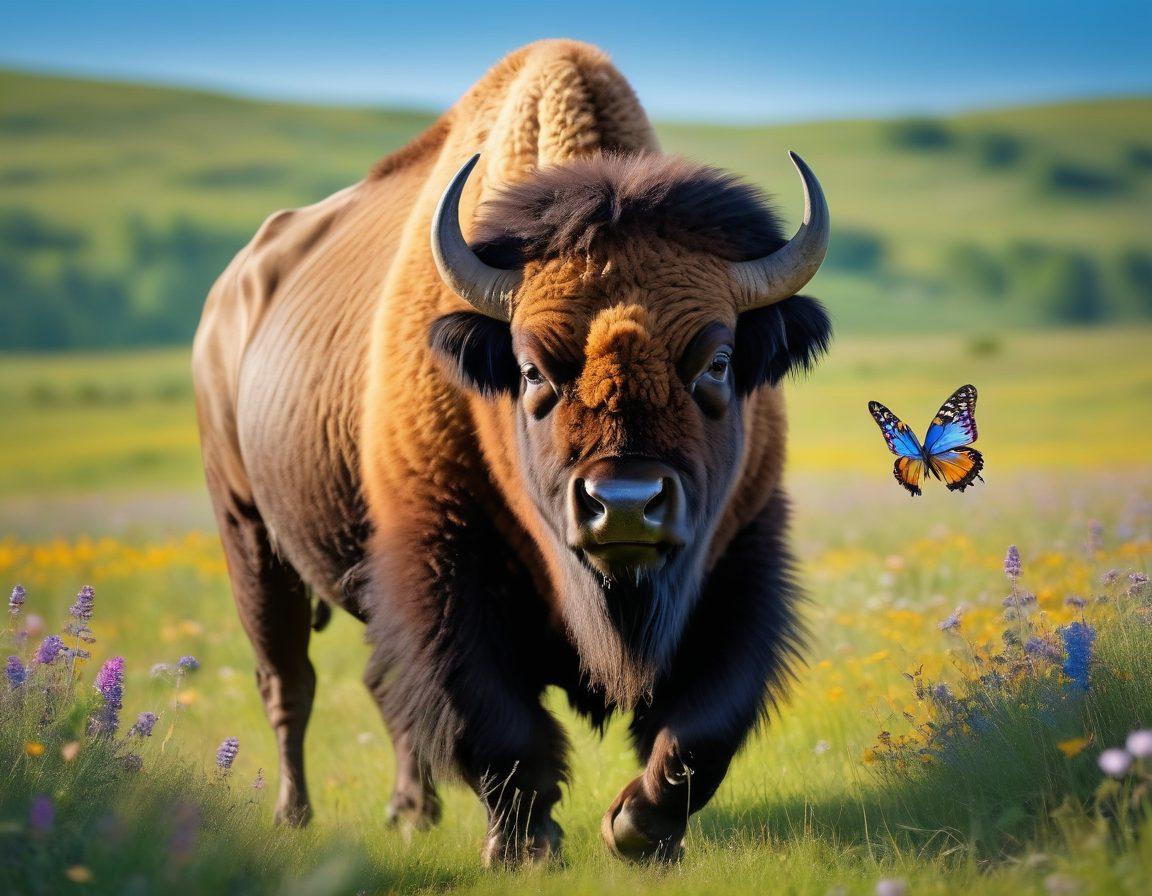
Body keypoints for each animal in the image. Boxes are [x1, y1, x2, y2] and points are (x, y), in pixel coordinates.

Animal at [193, 39, 831, 865]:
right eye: (530, 370)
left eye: (718, 362)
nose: (625, 505)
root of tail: (229, 299)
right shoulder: (440, 560)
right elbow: (495, 723)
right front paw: (528, 847)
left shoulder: (741, 551)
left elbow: (703, 726)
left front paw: (635, 829)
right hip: (248, 533)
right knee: (288, 683)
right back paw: (293, 816)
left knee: (378, 689)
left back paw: (411, 813)